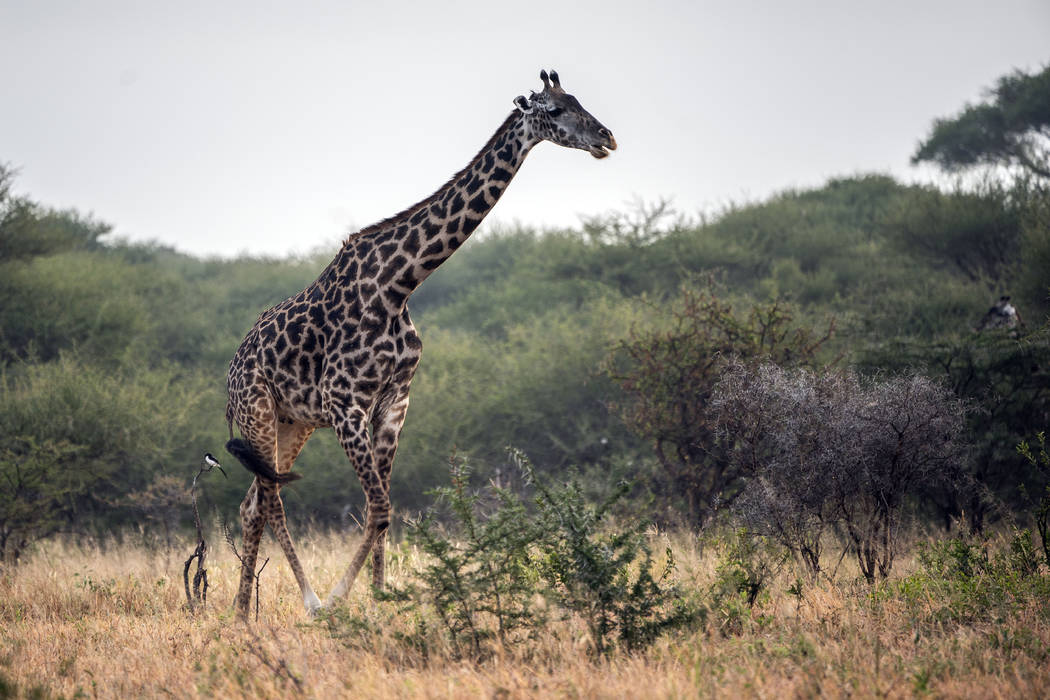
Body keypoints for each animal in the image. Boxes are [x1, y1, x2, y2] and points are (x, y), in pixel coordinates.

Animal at [223, 69, 613, 617]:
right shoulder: (345, 404)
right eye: (555, 110)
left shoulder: (393, 402)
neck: (399, 284)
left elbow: (383, 510)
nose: (607, 138)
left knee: (252, 503)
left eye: (580, 101)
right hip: (258, 412)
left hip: (291, 422)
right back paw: (311, 600)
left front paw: (384, 601)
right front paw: (343, 597)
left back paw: (241, 613)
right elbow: (380, 507)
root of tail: (231, 371)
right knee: (271, 500)